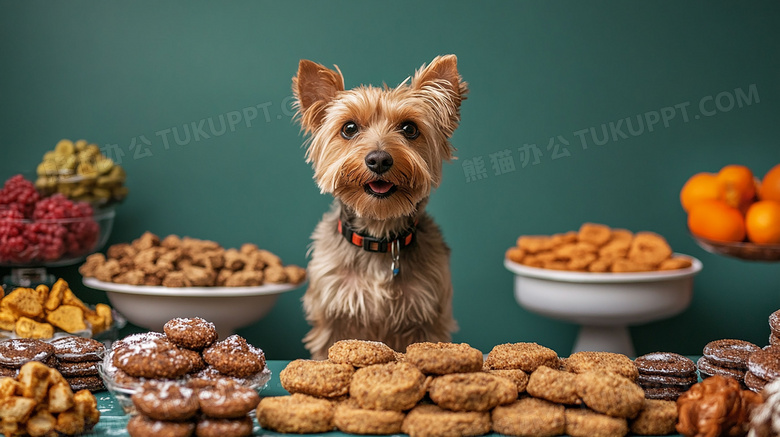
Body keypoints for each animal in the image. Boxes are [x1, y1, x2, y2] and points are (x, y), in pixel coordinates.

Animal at [290, 53, 466, 358]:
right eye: (349, 128)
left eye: (409, 129)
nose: (379, 159)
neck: (379, 234)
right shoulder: (331, 315)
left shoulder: (429, 318)